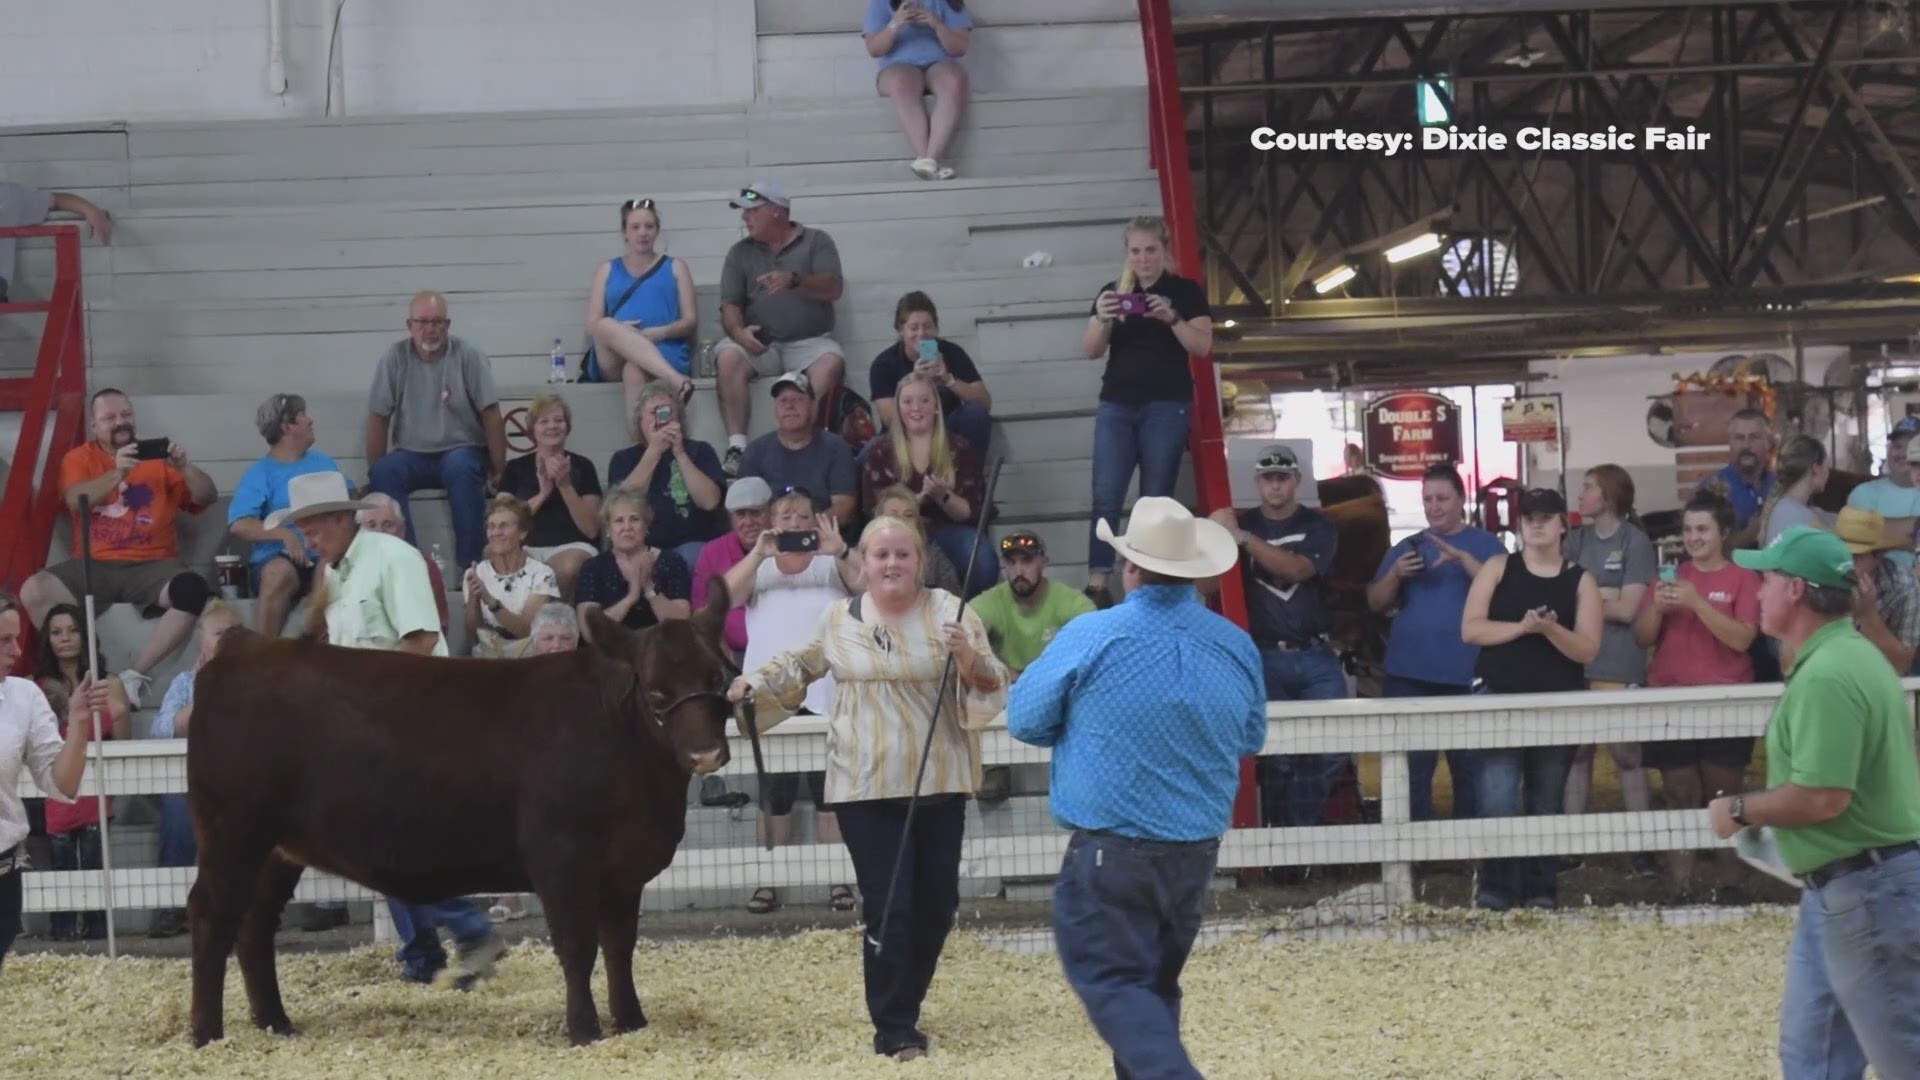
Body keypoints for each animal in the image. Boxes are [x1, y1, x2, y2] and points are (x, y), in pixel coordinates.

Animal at [187, 580, 737, 1045]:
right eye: (655, 688)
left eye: (717, 675)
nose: (706, 754)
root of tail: (247, 645)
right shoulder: (562, 858)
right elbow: (578, 947)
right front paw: (584, 1030)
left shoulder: (625, 866)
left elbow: (620, 946)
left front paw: (631, 1022)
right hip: (232, 831)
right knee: (212, 915)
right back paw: (207, 1033)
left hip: (276, 849)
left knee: (254, 924)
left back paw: (275, 1023)